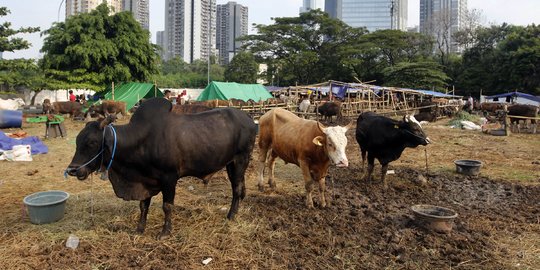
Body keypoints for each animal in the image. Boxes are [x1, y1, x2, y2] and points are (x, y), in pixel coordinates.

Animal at [65, 97, 255, 238]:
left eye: (92, 142)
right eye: (77, 141)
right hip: (231, 164)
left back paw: (231, 216)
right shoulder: (144, 180)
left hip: (241, 160)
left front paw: (165, 232)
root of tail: (248, 118)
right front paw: (139, 229)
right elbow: (143, 206)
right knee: (238, 188)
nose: (73, 170)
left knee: (237, 189)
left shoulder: (169, 178)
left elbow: (167, 206)